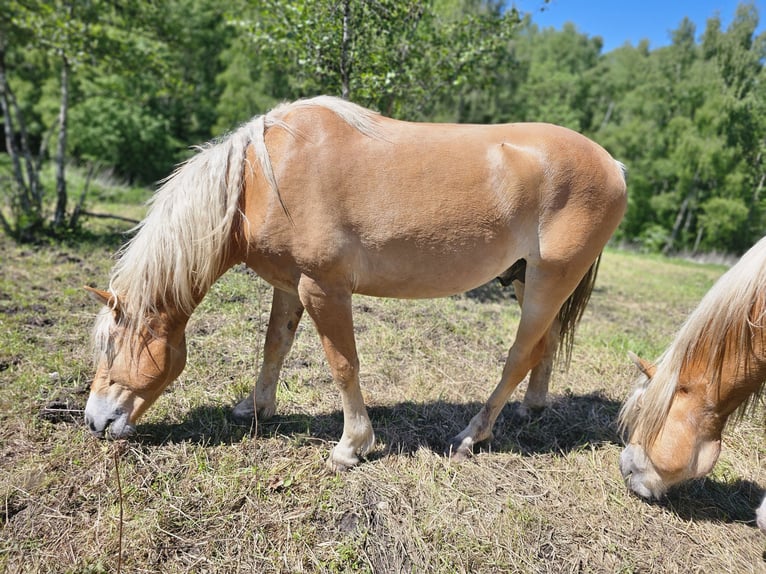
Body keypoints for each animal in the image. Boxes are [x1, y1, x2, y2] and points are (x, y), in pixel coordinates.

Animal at [83, 95, 627, 470]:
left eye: (110, 349)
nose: (95, 421)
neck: (263, 178)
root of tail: (613, 164)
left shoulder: (323, 289)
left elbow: (343, 365)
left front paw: (351, 446)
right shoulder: (289, 285)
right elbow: (275, 345)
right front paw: (255, 408)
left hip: (549, 280)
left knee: (518, 356)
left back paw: (472, 435)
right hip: (526, 280)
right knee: (545, 344)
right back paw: (532, 409)